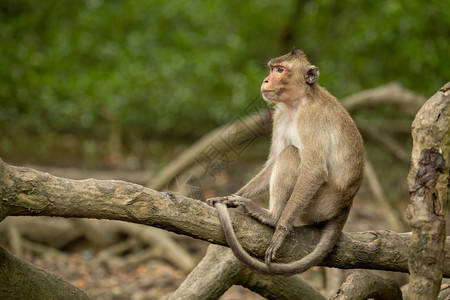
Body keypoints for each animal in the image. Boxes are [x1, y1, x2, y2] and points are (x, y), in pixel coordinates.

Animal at [207, 48, 366, 276]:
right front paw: (229, 198)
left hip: (319, 204)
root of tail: (346, 205)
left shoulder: (311, 118)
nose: (266, 80)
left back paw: (272, 217)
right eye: (272, 68)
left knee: (292, 153)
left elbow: (314, 170)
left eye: (280, 70)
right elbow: (273, 162)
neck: (298, 103)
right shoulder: (280, 115)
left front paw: (280, 230)